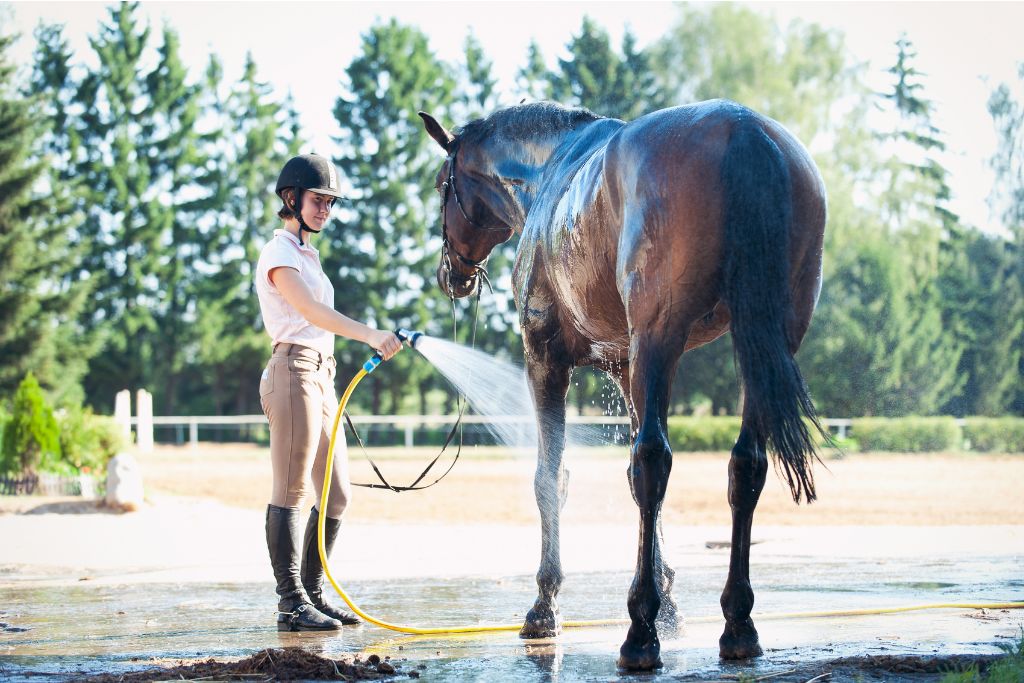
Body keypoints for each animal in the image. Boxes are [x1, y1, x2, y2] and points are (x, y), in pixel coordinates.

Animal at [419, 101, 827, 671]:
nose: (450, 274)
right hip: (764, 340)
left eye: (442, 185)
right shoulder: (629, 367)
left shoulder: (545, 357)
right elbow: (635, 486)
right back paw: (737, 624)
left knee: (654, 459)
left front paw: (546, 606)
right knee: (743, 465)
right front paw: (671, 606)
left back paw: (640, 632)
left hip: (662, 333)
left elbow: (553, 478)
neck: (548, 173)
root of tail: (743, 128)